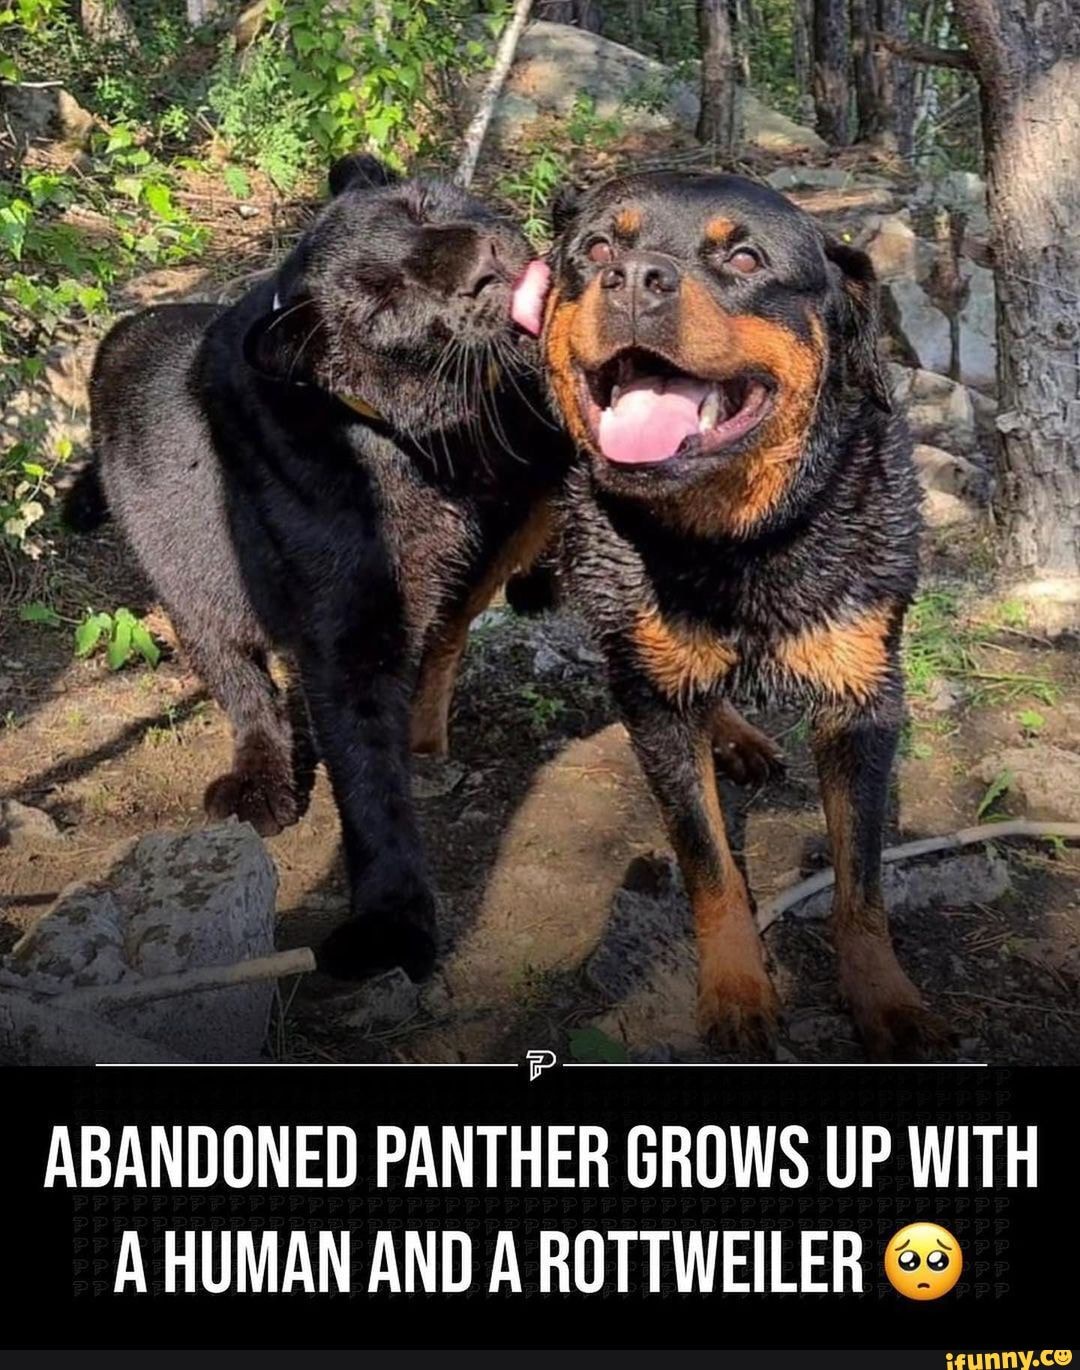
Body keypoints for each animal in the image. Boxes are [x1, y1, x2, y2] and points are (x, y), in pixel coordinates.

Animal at [70, 153, 571, 982]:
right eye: (385, 297)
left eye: (425, 206)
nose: (485, 267)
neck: (434, 449)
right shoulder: (348, 642)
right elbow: (368, 783)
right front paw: (391, 924)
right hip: (194, 601)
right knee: (247, 693)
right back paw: (260, 787)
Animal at [513, 170, 941, 1059]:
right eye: (596, 248)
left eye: (744, 258)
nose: (633, 278)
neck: (734, 545)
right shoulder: (651, 699)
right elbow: (706, 860)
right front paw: (738, 990)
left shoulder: (864, 699)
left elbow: (861, 877)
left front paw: (883, 996)